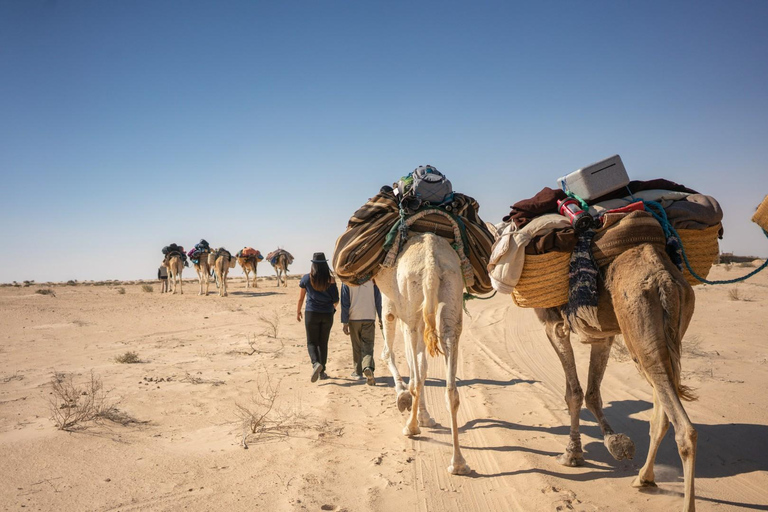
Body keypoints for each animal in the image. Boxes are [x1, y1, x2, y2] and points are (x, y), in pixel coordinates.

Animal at [376, 232, 472, 476]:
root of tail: (431, 260)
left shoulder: (393, 306)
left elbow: (398, 358)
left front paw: (407, 402)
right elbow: (422, 364)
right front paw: (425, 416)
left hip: (410, 300)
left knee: (413, 374)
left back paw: (410, 428)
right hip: (451, 289)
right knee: (450, 384)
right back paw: (458, 463)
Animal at [536, 244, 696, 512]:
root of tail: (664, 278)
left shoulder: (553, 324)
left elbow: (573, 393)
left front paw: (572, 455)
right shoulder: (602, 334)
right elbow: (592, 393)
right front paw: (616, 444)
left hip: (638, 327)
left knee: (684, 428)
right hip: (674, 328)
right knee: (661, 415)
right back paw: (643, 478)